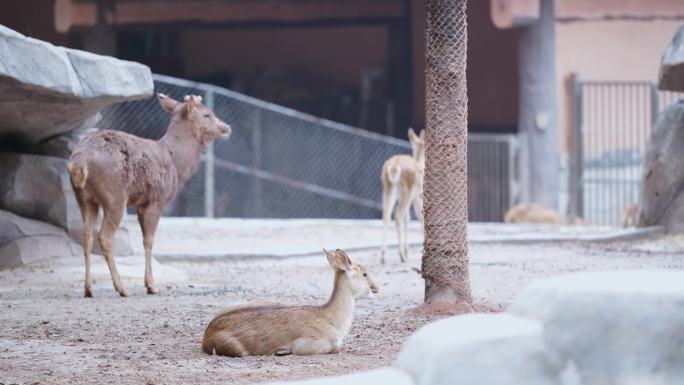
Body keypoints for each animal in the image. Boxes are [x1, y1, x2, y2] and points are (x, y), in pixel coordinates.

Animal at [68, 94, 231, 296]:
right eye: (207, 114)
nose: (226, 127)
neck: (176, 162)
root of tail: (79, 163)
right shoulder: (157, 199)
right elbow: (149, 241)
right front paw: (151, 285)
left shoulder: (141, 202)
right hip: (115, 195)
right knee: (104, 236)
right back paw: (121, 288)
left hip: (84, 198)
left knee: (87, 236)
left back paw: (89, 289)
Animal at [202, 248, 380, 356]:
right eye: (364, 273)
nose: (376, 288)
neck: (334, 322)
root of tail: (206, 336)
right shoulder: (306, 344)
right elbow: (336, 347)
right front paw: (282, 350)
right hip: (232, 346)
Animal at [382, 127, 424, 262]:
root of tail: (393, 167)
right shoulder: (418, 196)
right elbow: (420, 217)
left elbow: (408, 219)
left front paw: (408, 250)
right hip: (407, 190)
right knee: (397, 215)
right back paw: (401, 255)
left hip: (388, 189)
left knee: (386, 215)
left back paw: (383, 256)